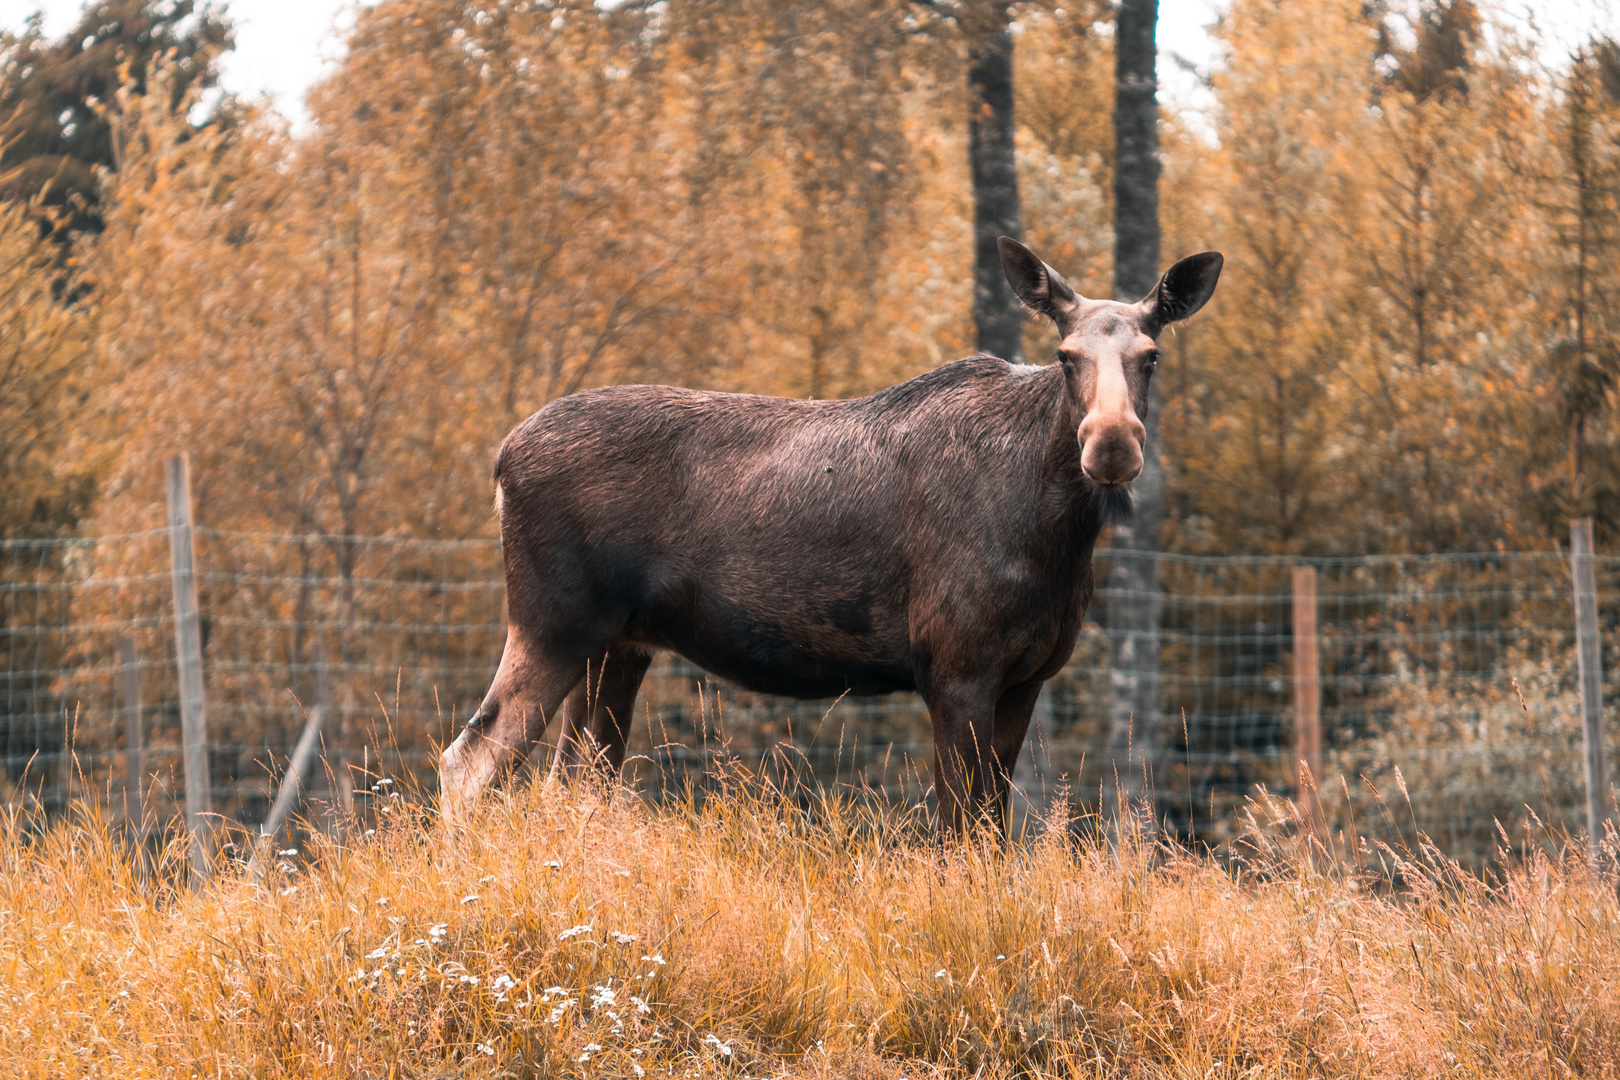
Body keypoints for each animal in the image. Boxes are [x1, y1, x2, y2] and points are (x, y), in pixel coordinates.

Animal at [437, 236, 1218, 835]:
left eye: (1151, 355)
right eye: (1064, 355)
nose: (1111, 442)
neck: (1057, 537)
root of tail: (501, 459)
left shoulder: (1026, 677)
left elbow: (993, 831)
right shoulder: (955, 668)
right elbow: (958, 831)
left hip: (618, 647)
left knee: (572, 781)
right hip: (552, 623)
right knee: (467, 760)